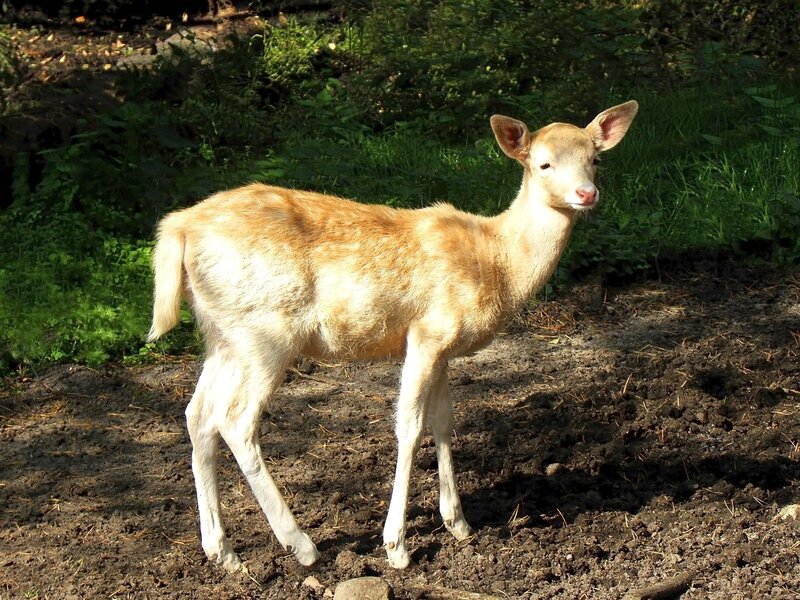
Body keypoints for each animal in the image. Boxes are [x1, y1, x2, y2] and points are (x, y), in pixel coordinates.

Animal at [147, 100, 638, 571]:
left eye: (595, 159)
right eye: (543, 164)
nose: (586, 193)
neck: (496, 261)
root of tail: (178, 228)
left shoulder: (444, 346)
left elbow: (444, 420)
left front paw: (458, 523)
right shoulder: (429, 330)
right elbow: (409, 425)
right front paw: (396, 546)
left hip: (222, 335)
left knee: (197, 414)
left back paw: (223, 553)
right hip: (266, 331)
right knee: (235, 420)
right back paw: (302, 546)